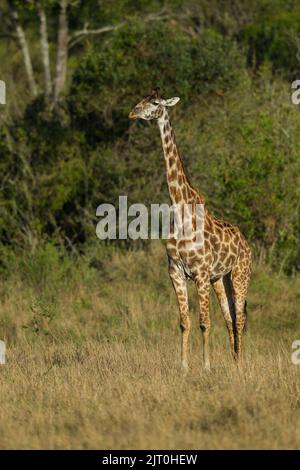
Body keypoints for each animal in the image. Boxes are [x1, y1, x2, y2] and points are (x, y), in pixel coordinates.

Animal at [129, 86, 251, 370]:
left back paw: (240, 365)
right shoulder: (176, 271)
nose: (133, 113)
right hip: (220, 279)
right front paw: (184, 366)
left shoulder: (200, 273)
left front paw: (205, 366)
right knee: (230, 317)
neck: (180, 209)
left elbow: (204, 322)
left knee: (239, 317)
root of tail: (246, 242)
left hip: (240, 274)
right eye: (140, 100)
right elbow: (184, 322)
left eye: (155, 103)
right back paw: (234, 361)